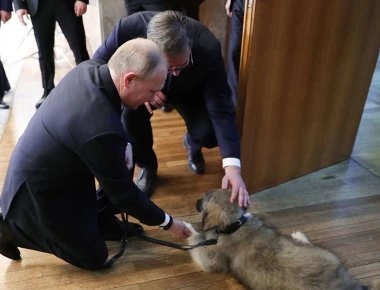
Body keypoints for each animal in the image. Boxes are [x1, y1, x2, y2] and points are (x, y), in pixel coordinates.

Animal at [189, 189, 378, 290]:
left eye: (205, 197)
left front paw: (189, 229)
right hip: (329, 257)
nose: (196, 200)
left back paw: (299, 236)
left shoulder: (213, 260)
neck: (235, 224)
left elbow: (198, 245)